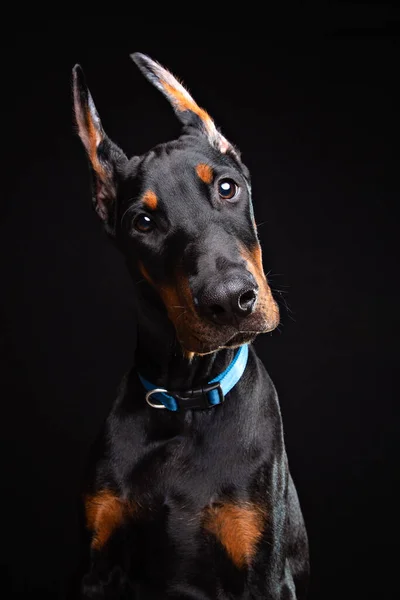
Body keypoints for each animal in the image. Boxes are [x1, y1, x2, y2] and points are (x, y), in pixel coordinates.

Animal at [72, 52, 310, 600]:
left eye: (227, 187)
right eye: (143, 222)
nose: (229, 302)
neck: (186, 401)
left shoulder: (264, 574)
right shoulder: (98, 567)